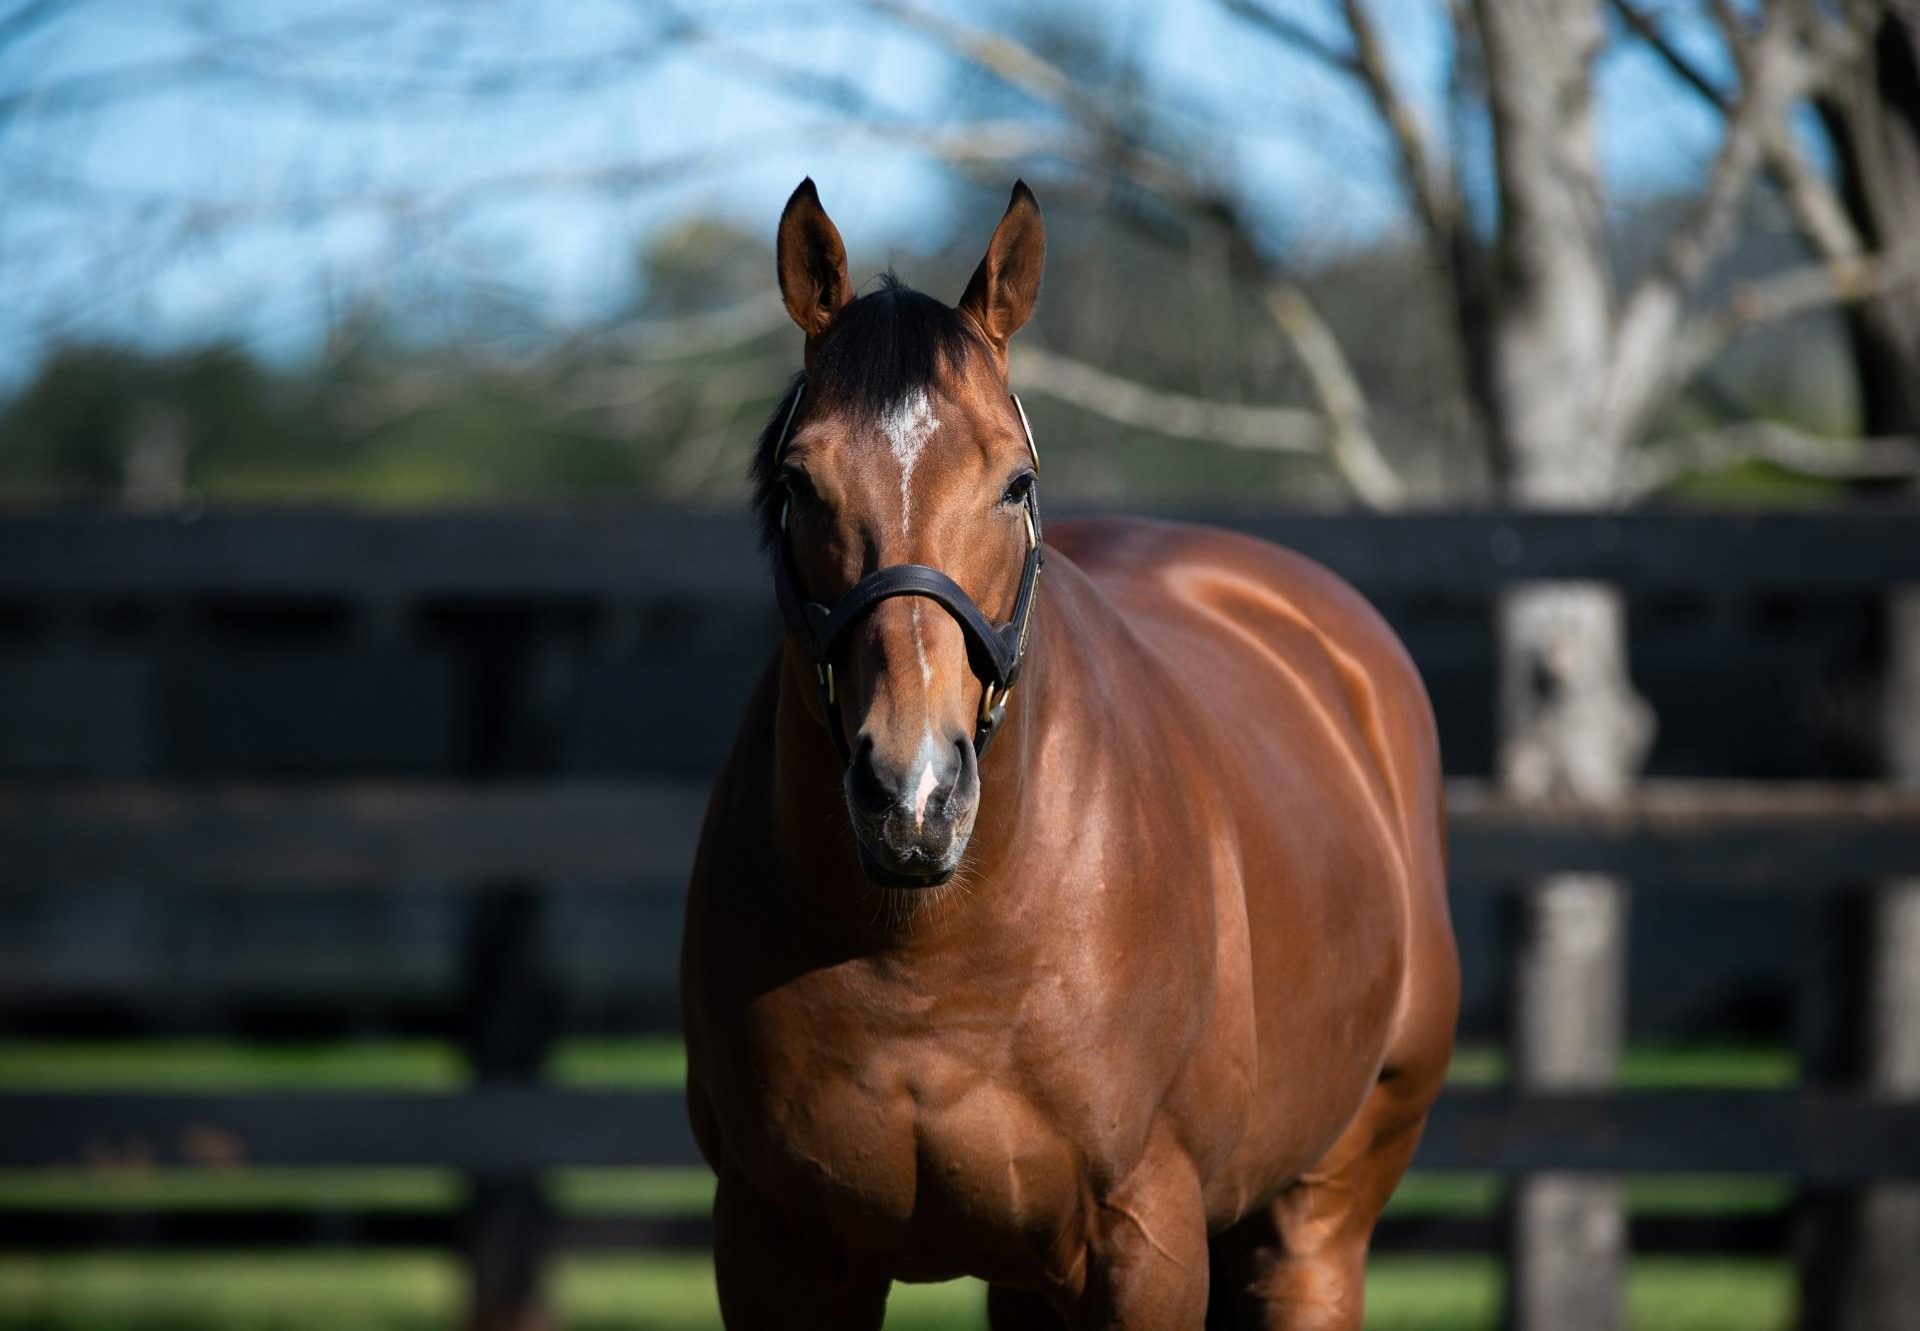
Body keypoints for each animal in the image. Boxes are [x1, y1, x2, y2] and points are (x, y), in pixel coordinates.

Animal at [675, 179, 1451, 1329]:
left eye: (1014, 481)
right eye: (799, 481)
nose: (913, 793)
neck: (928, 951)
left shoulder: (1147, 1242)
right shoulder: (777, 1247)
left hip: (1319, 1216)